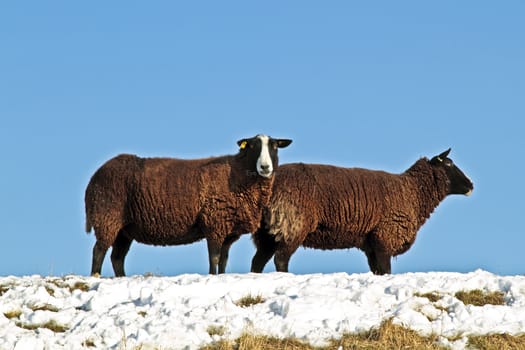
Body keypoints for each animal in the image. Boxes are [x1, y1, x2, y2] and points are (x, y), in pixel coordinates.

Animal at [84, 135, 292, 276]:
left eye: (275, 146)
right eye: (253, 146)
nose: (265, 167)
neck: (238, 173)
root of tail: (93, 179)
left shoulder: (227, 230)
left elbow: (224, 260)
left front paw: (222, 276)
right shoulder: (214, 224)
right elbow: (214, 257)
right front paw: (212, 276)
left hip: (124, 229)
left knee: (117, 257)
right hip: (107, 217)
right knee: (99, 251)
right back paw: (95, 276)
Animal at [249, 149, 470, 274]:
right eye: (448, 164)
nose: (471, 185)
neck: (411, 192)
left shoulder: (371, 243)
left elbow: (377, 271)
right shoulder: (385, 236)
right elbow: (386, 270)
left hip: (266, 231)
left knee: (257, 261)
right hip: (293, 223)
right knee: (281, 259)